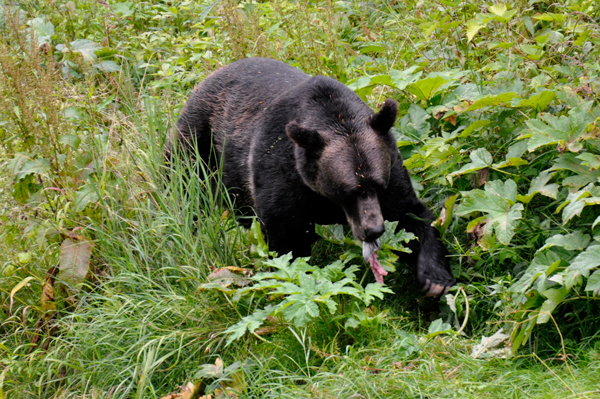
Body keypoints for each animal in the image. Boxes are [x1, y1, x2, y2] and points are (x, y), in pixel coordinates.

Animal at [173, 58, 454, 296]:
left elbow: (410, 215)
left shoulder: (390, 164)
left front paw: (435, 278)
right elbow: (285, 240)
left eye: (378, 185)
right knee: (181, 181)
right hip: (200, 139)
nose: (373, 229)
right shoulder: (282, 172)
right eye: (349, 191)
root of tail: (213, 74)